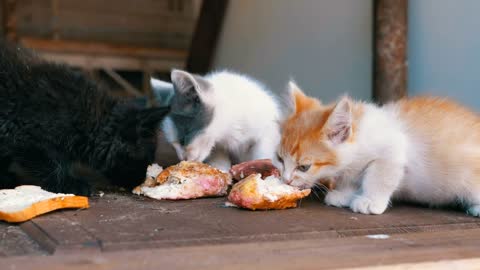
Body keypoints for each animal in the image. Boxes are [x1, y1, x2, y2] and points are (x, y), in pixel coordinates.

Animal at [278, 81, 480, 216]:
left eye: (304, 167)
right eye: (280, 159)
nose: (286, 180)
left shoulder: (393, 150)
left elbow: (379, 179)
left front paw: (370, 201)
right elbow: (351, 179)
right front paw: (344, 194)